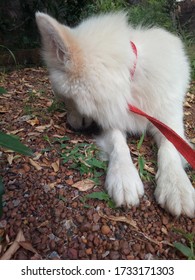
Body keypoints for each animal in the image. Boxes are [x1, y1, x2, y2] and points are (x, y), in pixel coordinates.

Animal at [35, 12, 195, 218]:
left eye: (67, 100)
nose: (71, 125)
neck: (130, 81)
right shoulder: (112, 120)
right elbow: (119, 144)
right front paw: (124, 177)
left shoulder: (168, 122)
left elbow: (170, 147)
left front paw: (176, 186)